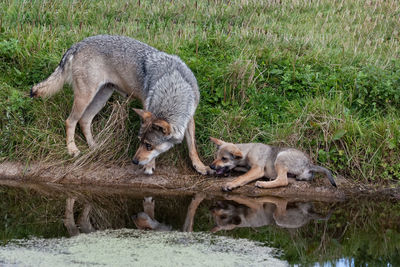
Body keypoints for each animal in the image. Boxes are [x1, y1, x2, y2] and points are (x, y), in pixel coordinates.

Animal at [30, 34, 211, 176]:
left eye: (148, 145)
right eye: (140, 141)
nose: (134, 161)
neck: (174, 85)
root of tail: (78, 44)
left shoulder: (190, 117)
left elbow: (192, 147)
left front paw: (200, 167)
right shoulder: (147, 104)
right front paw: (150, 166)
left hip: (101, 97)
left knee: (84, 120)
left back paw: (94, 146)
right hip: (85, 97)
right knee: (70, 121)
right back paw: (72, 150)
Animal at [208, 137, 336, 192]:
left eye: (224, 159)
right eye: (217, 157)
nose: (211, 166)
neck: (248, 150)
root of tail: (309, 164)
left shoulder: (257, 169)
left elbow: (242, 177)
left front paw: (231, 184)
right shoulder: (248, 168)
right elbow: (239, 169)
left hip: (280, 157)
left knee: (283, 180)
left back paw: (263, 184)